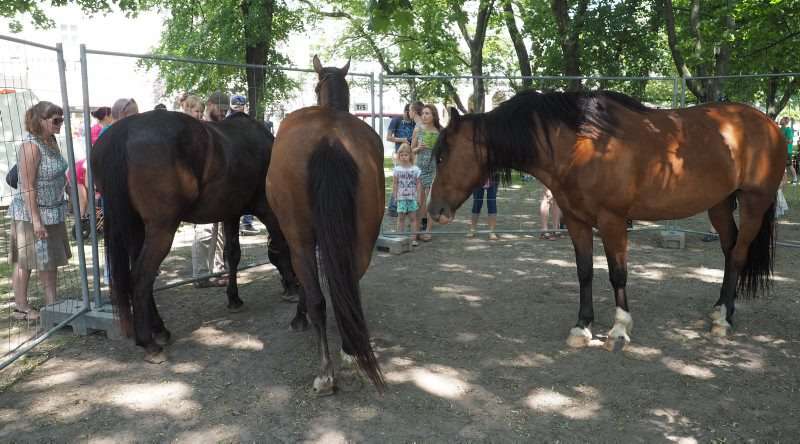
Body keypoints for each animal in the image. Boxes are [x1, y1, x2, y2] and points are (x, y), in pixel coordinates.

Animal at [90, 109, 296, 362]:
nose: (291, 282)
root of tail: (124, 131)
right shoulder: (267, 209)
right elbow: (280, 246)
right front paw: (292, 288)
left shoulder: (231, 212)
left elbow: (233, 255)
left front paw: (234, 298)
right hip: (162, 228)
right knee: (141, 276)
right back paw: (148, 342)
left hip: (137, 228)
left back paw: (160, 329)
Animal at [266, 56, 384, 396]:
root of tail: (330, 139)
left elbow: (308, 288)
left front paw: (299, 317)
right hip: (362, 237)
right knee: (350, 285)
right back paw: (349, 349)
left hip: (300, 238)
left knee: (319, 297)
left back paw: (326, 373)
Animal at [428, 90, 784, 352]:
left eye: (443, 156)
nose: (434, 211)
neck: (581, 145)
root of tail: (768, 123)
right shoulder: (576, 221)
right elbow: (584, 271)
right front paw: (582, 326)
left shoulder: (613, 221)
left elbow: (617, 274)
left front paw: (619, 329)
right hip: (719, 204)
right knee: (729, 248)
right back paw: (721, 308)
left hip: (753, 203)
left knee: (738, 254)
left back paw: (724, 320)